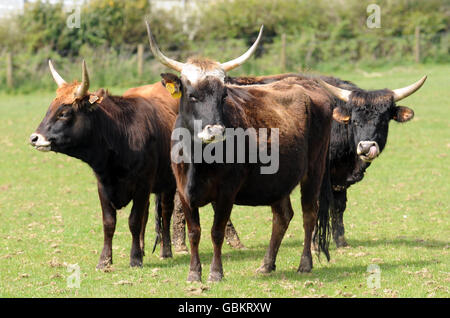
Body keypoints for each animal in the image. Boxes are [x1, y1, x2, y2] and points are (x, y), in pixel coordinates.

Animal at [28, 60, 178, 268]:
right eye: (49, 108)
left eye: (64, 113)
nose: (34, 138)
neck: (121, 134)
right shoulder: (103, 186)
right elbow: (109, 223)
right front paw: (105, 260)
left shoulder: (142, 185)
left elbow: (134, 221)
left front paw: (135, 259)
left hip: (169, 183)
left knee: (165, 211)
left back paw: (166, 251)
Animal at [147, 21, 334, 280]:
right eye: (192, 95)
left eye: (224, 95)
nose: (215, 130)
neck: (198, 160)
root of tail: (311, 86)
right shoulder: (184, 192)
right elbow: (195, 232)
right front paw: (194, 273)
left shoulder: (227, 192)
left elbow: (217, 231)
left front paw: (216, 273)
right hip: (278, 180)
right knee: (283, 216)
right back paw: (267, 264)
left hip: (314, 170)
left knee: (309, 213)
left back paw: (305, 263)